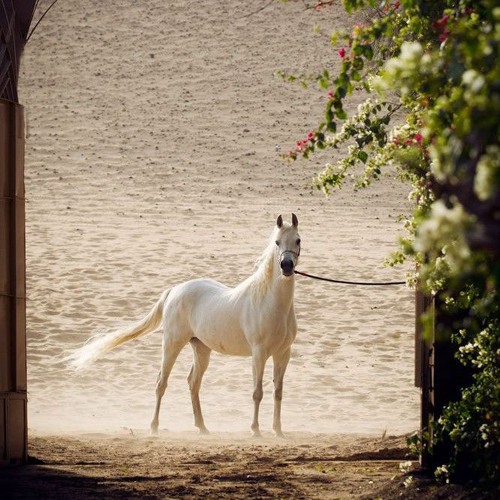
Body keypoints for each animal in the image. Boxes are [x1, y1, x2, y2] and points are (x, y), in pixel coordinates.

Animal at [70, 213, 300, 436]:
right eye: (277, 242)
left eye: (297, 240)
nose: (286, 266)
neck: (269, 302)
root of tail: (174, 290)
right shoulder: (258, 353)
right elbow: (257, 393)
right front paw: (255, 430)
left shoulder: (282, 353)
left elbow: (278, 392)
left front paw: (278, 431)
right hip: (172, 344)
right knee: (161, 383)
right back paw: (154, 427)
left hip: (201, 348)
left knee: (193, 383)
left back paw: (202, 427)